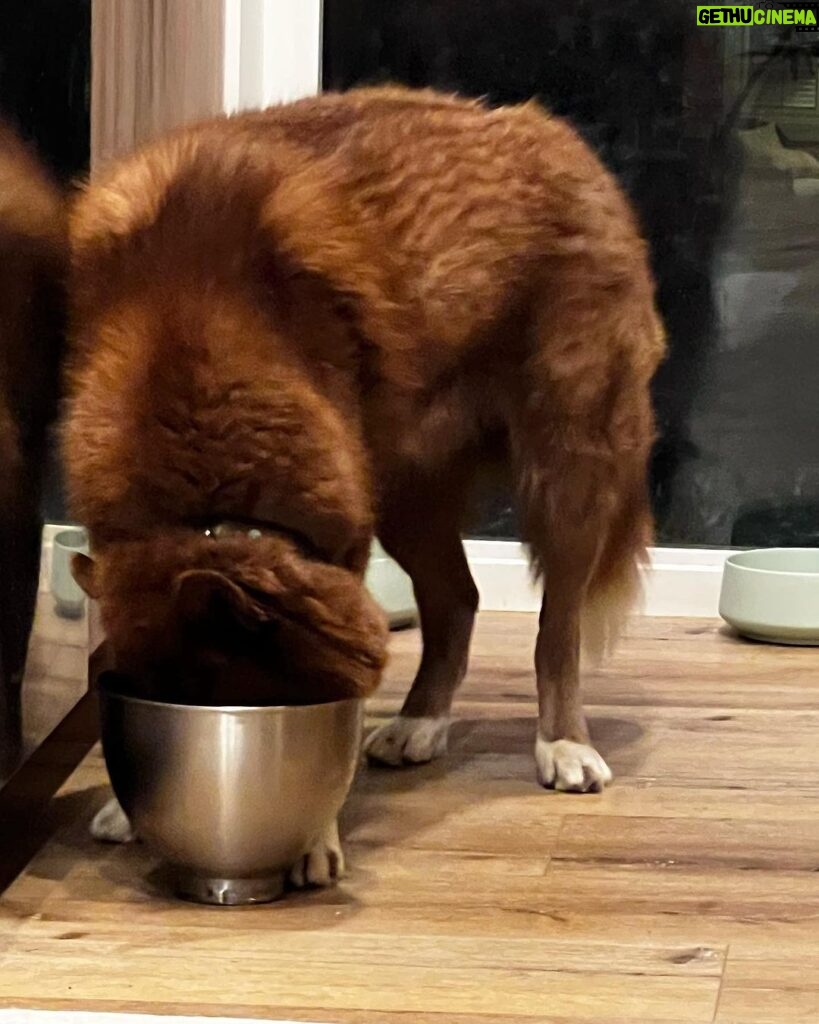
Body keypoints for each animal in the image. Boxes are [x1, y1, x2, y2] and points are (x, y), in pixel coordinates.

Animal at [63, 86, 663, 880]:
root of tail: (559, 136)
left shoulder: (336, 531)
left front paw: (314, 836)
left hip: (567, 464)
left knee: (555, 629)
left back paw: (564, 743)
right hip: (402, 490)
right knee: (456, 600)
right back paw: (418, 723)